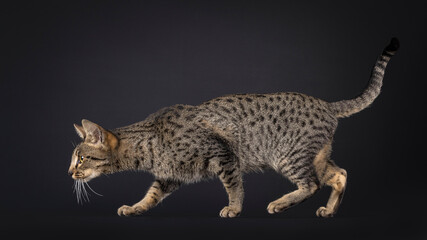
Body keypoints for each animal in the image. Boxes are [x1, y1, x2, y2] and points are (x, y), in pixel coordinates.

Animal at [68, 37, 400, 218]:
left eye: (81, 158)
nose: (70, 172)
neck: (149, 146)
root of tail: (328, 105)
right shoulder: (170, 176)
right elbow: (151, 195)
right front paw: (135, 208)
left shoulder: (223, 154)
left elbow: (234, 185)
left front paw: (234, 209)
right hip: (314, 156)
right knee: (339, 174)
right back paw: (330, 211)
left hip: (288, 156)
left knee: (312, 184)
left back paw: (280, 204)